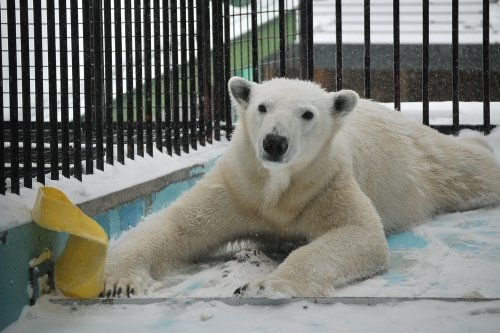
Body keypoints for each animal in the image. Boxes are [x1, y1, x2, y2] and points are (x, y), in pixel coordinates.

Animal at [103, 77, 500, 296]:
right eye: (262, 107)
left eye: (307, 114)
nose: (274, 143)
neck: (276, 187)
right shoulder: (237, 186)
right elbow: (176, 226)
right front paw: (118, 282)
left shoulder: (327, 183)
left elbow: (356, 232)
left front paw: (262, 286)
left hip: (423, 159)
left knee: (470, 169)